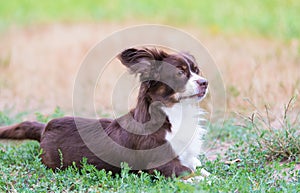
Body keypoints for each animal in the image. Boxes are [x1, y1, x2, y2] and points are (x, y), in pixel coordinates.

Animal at [0, 47, 210, 179]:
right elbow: (188, 172)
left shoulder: (188, 157)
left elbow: (199, 167)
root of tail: (45, 127)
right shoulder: (160, 164)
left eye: (197, 70)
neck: (175, 113)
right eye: (180, 73)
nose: (205, 82)